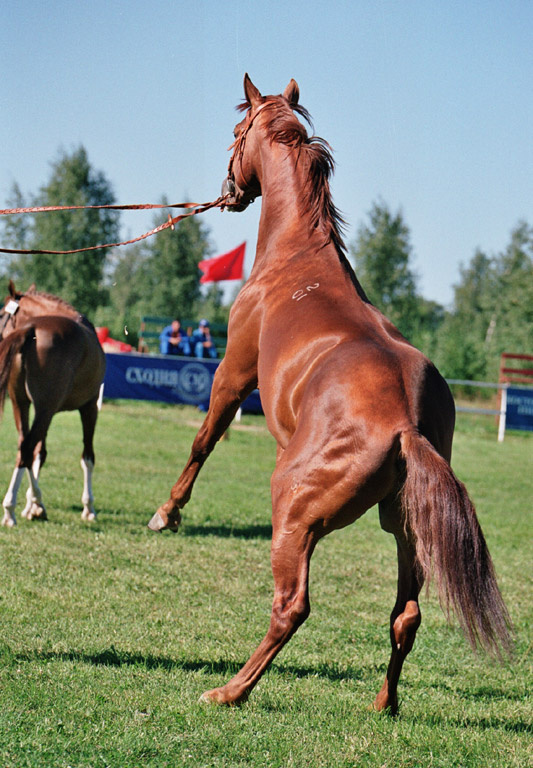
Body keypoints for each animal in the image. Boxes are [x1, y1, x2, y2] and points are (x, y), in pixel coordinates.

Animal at [0, 281, 106, 526]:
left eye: (1, 315)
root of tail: (32, 330)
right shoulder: (89, 407)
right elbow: (87, 457)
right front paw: (89, 507)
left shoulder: (39, 409)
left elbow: (40, 454)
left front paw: (33, 505)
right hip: (46, 410)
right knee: (27, 448)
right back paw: (9, 509)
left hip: (23, 405)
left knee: (25, 447)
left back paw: (28, 502)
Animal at [148, 75, 512, 713]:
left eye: (236, 131)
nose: (229, 191)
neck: (298, 256)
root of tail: (403, 422)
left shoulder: (232, 372)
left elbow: (203, 440)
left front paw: (168, 513)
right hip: (405, 530)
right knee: (405, 615)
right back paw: (385, 702)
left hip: (295, 517)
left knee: (292, 607)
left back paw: (231, 690)